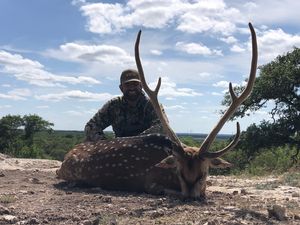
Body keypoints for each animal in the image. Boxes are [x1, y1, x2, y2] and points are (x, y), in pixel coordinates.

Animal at [56, 22, 258, 199]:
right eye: (180, 172)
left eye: (203, 173)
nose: (191, 196)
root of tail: (67, 154)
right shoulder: (150, 182)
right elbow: (161, 189)